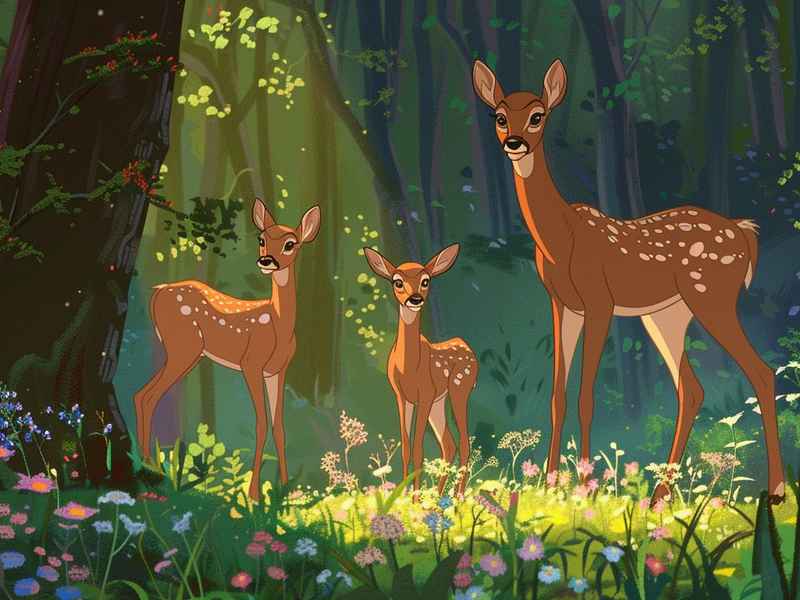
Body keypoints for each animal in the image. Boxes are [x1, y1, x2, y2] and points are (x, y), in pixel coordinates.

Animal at [133, 199, 321, 502]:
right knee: (149, 396)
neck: (278, 324)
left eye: (290, 243)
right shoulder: (251, 363)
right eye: (261, 240)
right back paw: (152, 468)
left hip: (183, 352)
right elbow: (260, 423)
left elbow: (279, 425)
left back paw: (150, 466)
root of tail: (158, 291)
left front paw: (286, 490)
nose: (266, 261)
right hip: (183, 347)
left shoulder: (277, 371)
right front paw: (254, 494)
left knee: (141, 395)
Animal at [364, 244, 476, 496]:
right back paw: (437, 495)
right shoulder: (401, 396)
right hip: (439, 401)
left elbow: (418, 449)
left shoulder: (424, 395)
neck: (409, 367)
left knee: (464, 442)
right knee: (449, 444)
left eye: (426, 281)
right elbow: (406, 447)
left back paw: (457, 496)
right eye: (397, 281)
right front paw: (402, 495)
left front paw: (414, 498)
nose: (415, 299)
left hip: (460, 388)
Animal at [472, 58, 785, 505]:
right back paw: (658, 497)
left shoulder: (599, 300)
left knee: (760, 372)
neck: (561, 241)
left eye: (537, 115)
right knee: (692, 389)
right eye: (499, 116)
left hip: (711, 295)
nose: (514, 143)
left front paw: (584, 487)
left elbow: (586, 395)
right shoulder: (561, 304)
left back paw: (775, 490)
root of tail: (743, 232)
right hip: (665, 316)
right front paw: (549, 487)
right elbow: (557, 396)